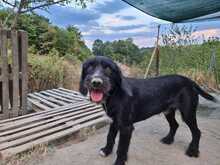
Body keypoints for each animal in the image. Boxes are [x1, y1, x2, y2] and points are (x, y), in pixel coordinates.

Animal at [79, 56, 217, 164]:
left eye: (108, 69)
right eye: (89, 67)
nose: (96, 82)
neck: (115, 94)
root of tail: (190, 81)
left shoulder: (126, 127)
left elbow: (122, 148)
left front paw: (119, 162)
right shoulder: (115, 121)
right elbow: (110, 136)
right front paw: (106, 151)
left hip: (188, 113)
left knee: (197, 132)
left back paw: (193, 151)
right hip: (168, 111)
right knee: (175, 125)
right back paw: (168, 140)